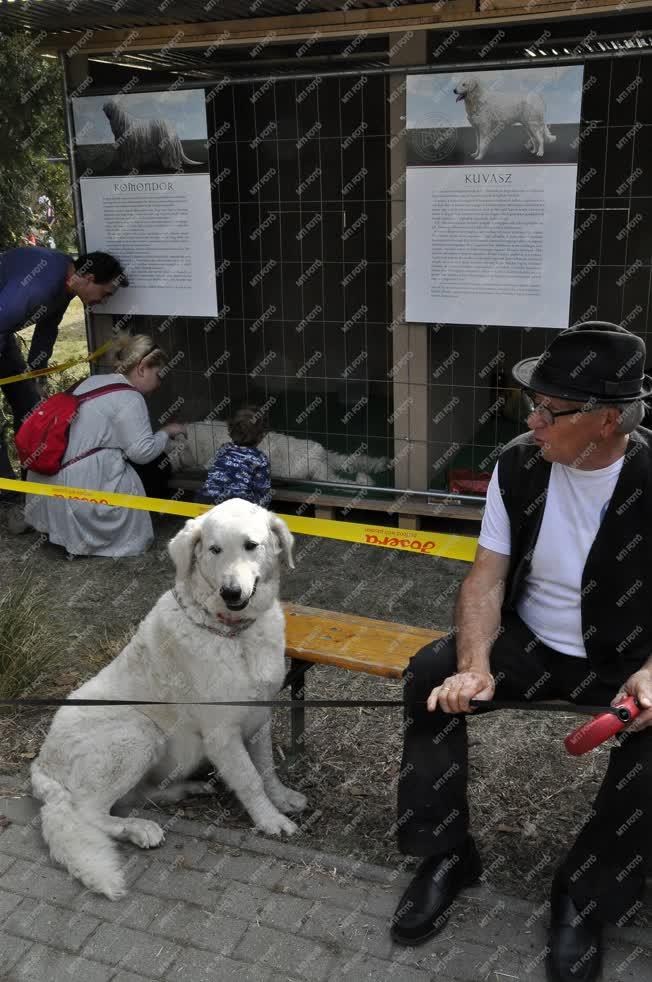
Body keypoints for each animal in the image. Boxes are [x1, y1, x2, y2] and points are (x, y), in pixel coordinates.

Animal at [30, 504, 306, 904]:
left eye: (251, 546)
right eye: (214, 550)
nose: (230, 592)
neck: (233, 634)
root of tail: (41, 765)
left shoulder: (260, 716)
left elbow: (267, 769)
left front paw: (282, 799)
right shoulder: (222, 732)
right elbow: (250, 778)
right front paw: (269, 820)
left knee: (138, 795)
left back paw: (187, 789)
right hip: (138, 731)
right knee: (88, 812)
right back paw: (137, 828)